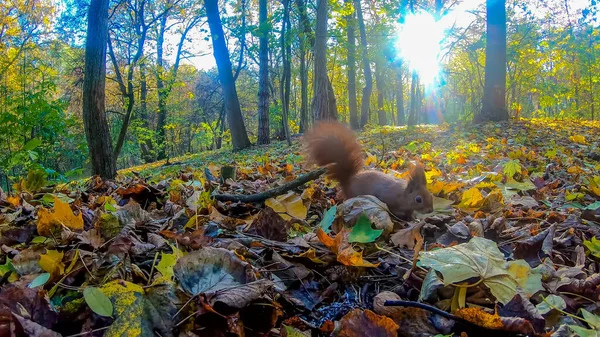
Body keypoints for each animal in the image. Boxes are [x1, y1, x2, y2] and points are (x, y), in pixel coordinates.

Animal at [304, 122, 432, 219]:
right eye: (418, 199)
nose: (430, 210)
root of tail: (348, 182)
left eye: (430, 195)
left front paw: (413, 218)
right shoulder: (389, 199)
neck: (402, 195)